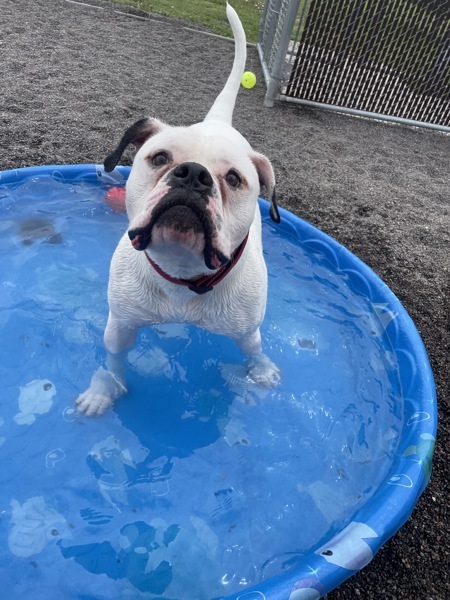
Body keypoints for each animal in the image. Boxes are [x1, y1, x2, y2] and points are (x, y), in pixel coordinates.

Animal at [77, 3, 282, 418]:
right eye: (159, 158)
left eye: (233, 178)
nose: (194, 175)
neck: (183, 275)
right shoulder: (119, 326)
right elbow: (114, 362)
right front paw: (105, 389)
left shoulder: (247, 331)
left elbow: (254, 351)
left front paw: (262, 370)